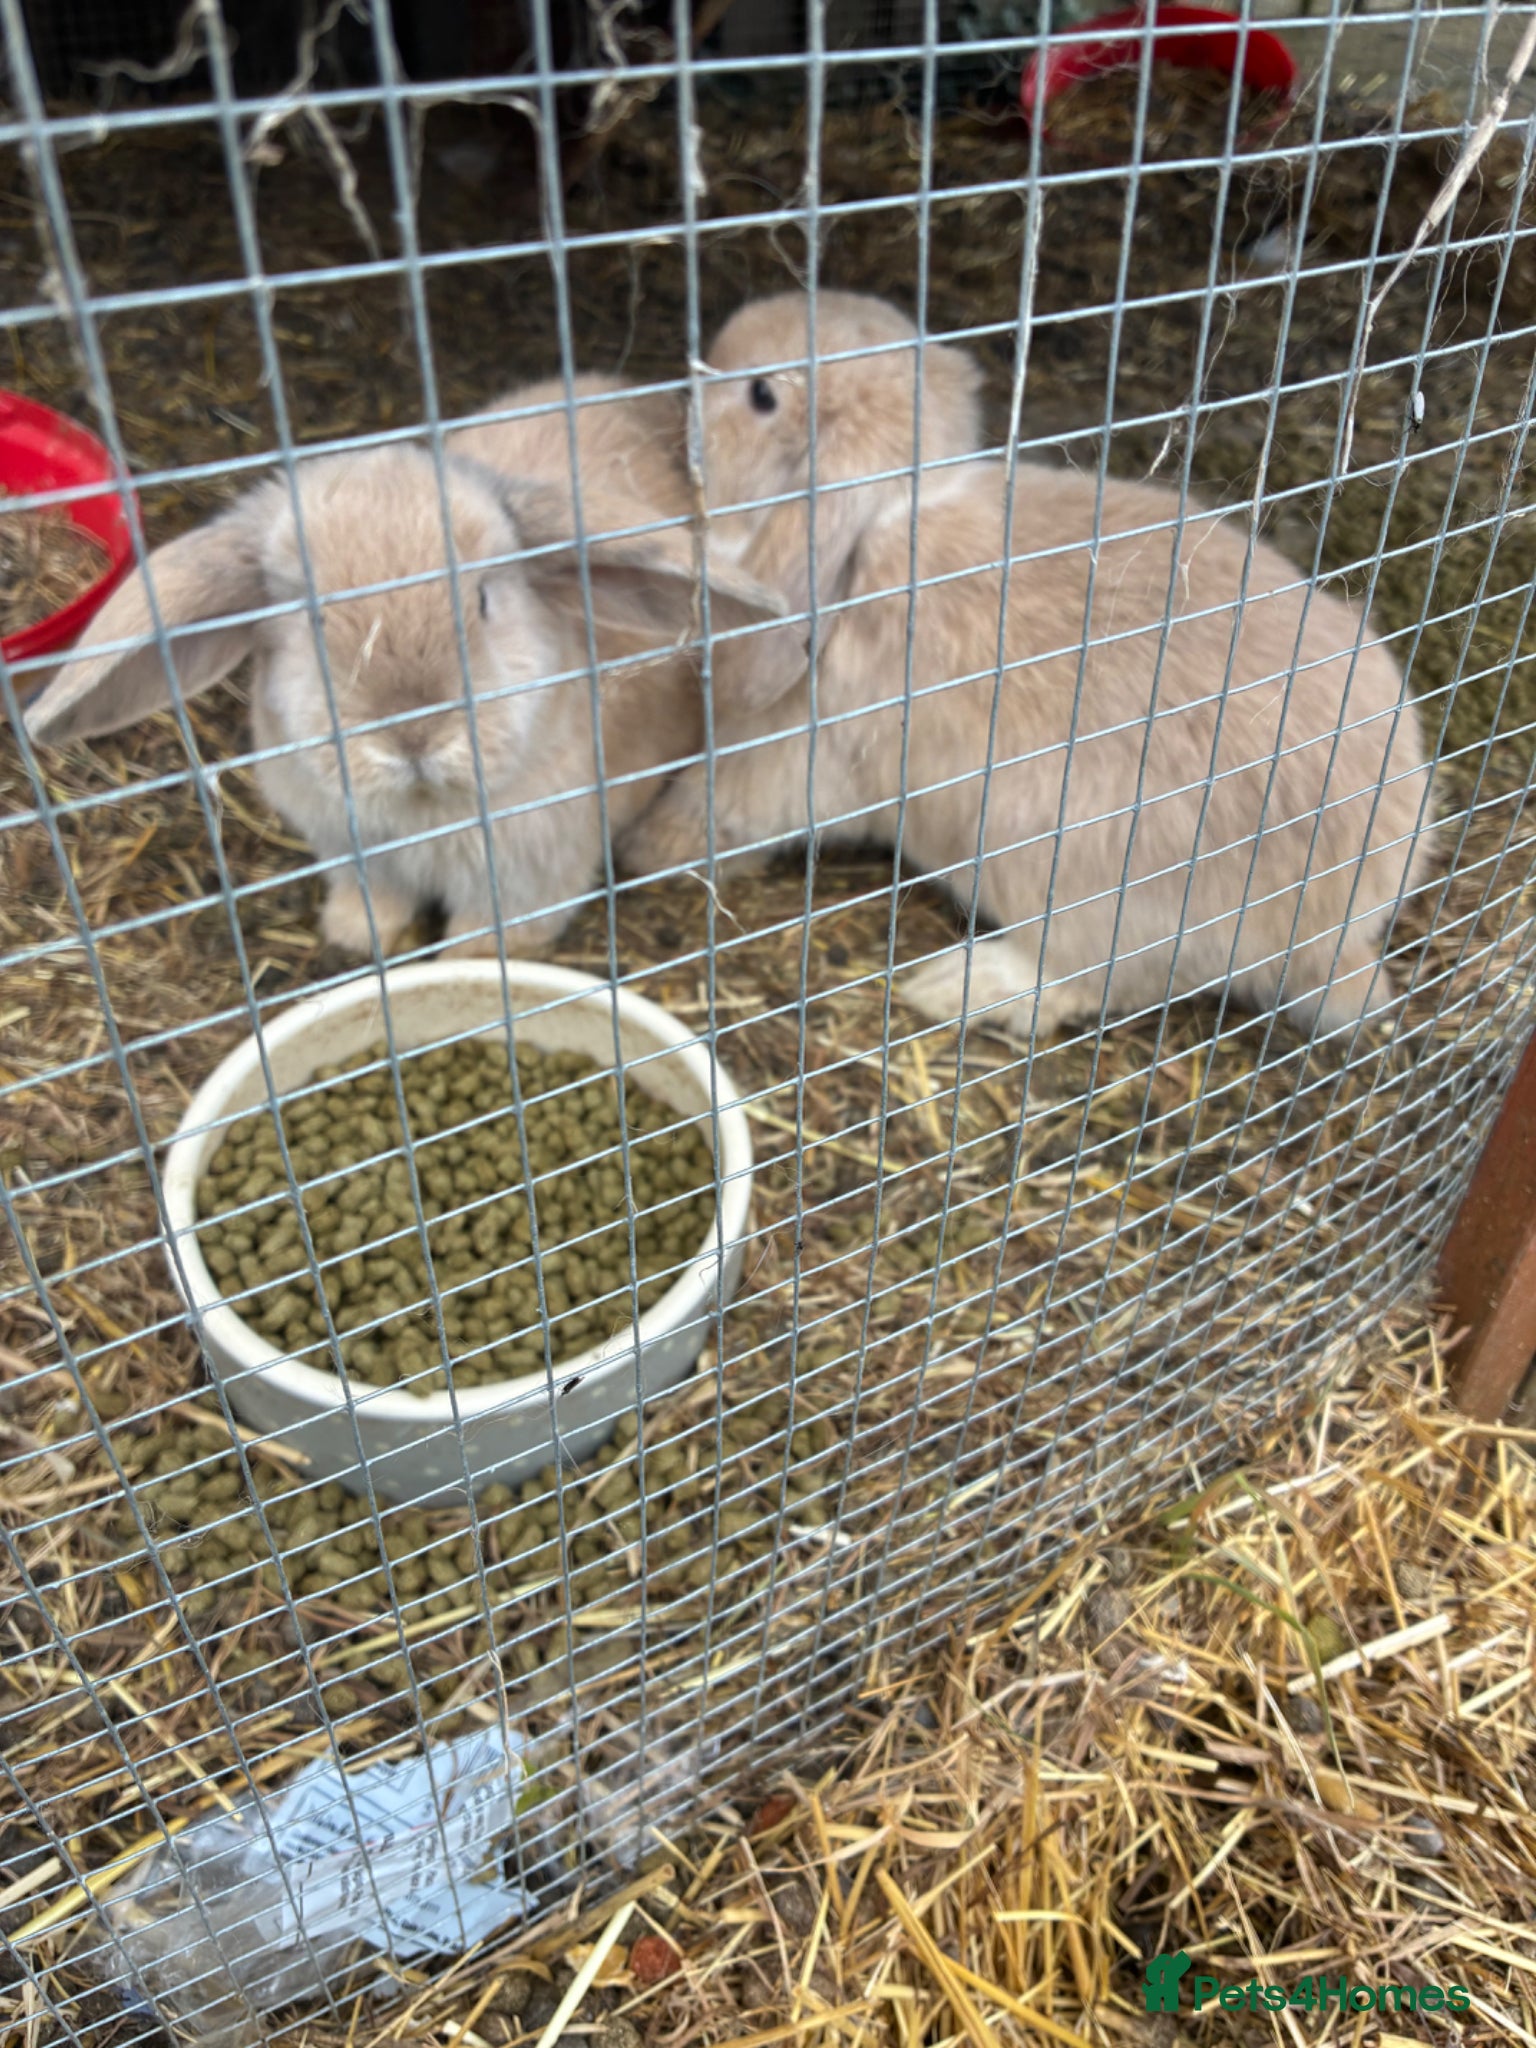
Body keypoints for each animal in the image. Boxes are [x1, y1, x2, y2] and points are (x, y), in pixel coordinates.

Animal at [23, 385, 781, 961]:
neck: (422, 810)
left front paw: (468, 962)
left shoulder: (532, 876)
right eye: (313, 622)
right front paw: (356, 937)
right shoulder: (356, 853)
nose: (413, 736)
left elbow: (489, 935)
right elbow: (377, 900)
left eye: (483, 600)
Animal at [625, 290, 1435, 1040]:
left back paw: (963, 986)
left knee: (1099, 982)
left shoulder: (793, 748)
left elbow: (725, 808)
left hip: (1083, 888)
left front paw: (647, 851)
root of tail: (1334, 929)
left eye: (761, 394)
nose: (682, 405)